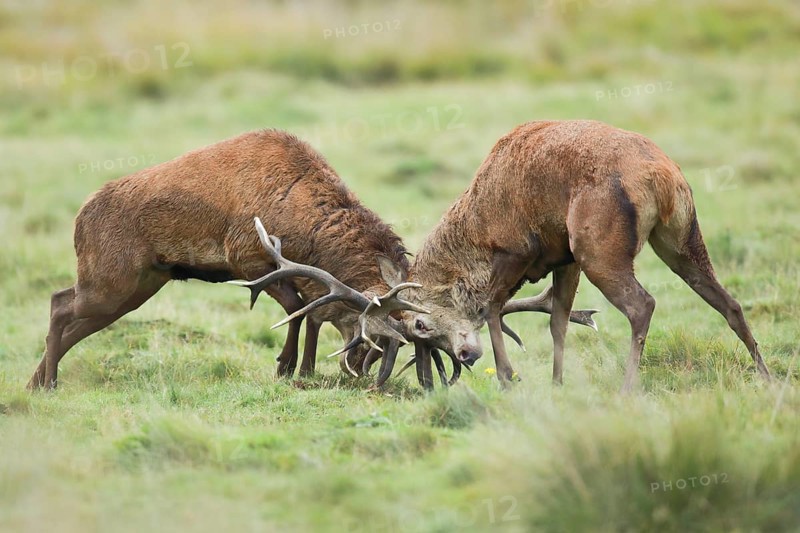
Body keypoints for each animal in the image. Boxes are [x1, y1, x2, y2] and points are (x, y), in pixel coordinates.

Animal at [27, 128, 597, 391]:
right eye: (372, 340)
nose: (361, 373)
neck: (301, 224)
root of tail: (79, 218)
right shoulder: (247, 256)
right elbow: (299, 308)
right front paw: (288, 366)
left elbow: (312, 311)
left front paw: (299, 369)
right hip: (113, 276)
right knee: (59, 304)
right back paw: (46, 381)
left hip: (141, 282)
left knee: (69, 312)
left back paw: (37, 381)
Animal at [396, 120, 771, 392]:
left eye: (419, 324)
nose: (466, 356)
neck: (476, 236)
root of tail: (663, 176)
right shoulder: (564, 259)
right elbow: (558, 321)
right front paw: (556, 383)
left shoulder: (516, 249)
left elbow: (491, 308)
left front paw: (508, 377)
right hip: (679, 238)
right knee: (729, 303)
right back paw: (766, 377)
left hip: (598, 248)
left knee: (643, 304)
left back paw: (627, 388)